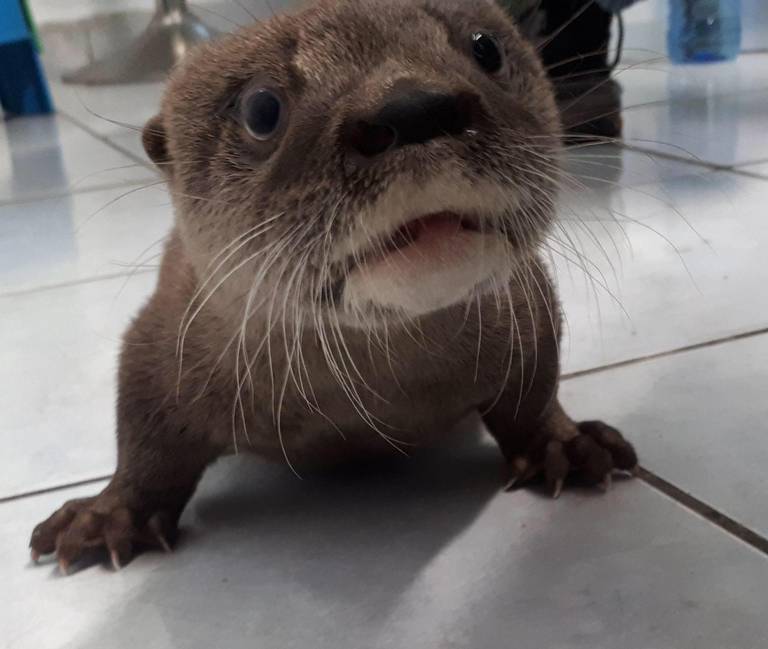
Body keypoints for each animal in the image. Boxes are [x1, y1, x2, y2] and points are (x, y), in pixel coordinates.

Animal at [28, 0, 636, 568]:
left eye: (484, 48)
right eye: (261, 108)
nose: (414, 108)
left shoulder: (529, 307)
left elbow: (533, 392)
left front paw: (565, 443)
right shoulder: (161, 337)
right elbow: (144, 436)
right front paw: (108, 515)